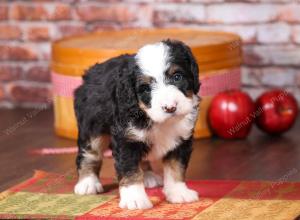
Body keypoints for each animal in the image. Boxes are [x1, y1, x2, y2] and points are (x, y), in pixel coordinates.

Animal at [73, 39, 200, 210]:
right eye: (145, 88)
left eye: (177, 77)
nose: (170, 107)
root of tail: (90, 73)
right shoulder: (126, 139)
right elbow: (130, 169)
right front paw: (135, 199)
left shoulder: (181, 139)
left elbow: (176, 167)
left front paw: (178, 192)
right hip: (92, 126)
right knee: (89, 153)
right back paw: (87, 182)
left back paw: (147, 175)